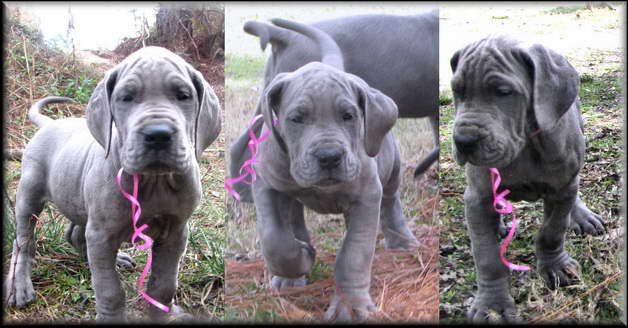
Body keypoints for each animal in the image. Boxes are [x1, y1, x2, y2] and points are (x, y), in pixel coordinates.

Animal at [3, 47, 221, 322]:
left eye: (184, 96)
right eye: (126, 98)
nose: (158, 134)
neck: (154, 181)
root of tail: (51, 123)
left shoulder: (175, 232)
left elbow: (164, 284)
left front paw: (162, 313)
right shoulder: (102, 233)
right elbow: (109, 289)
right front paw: (111, 316)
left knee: (75, 235)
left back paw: (115, 259)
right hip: (29, 195)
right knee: (23, 242)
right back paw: (20, 287)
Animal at [229, 18, 418, 320]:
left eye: (349, 116)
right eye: (296, 119)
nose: (329, 157)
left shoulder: (366, 197)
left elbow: (354, 254)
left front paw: (351, 307)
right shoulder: (266, 185)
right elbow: (275, 239)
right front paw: (302, 258)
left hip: (392, 167)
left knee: (391, 201)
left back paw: (402, 241)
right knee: (293, 218)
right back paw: (292, 275)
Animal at [452, 34, 604, 322]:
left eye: (503, 92)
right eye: (457, 91)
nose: (463, 141)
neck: (525, 145)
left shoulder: (561, 189)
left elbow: (552, 231)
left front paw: (556, 268)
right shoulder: (477, 197)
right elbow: (487, 257)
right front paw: (492, 305)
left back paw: (581, 215)